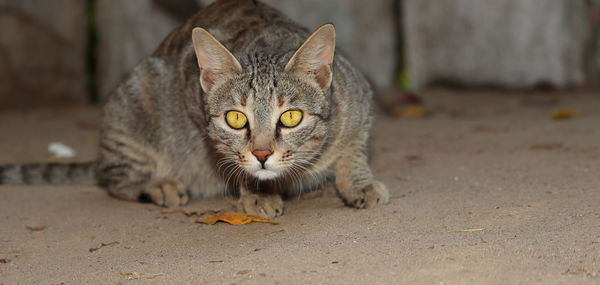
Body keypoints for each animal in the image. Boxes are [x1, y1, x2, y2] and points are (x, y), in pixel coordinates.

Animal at [0, 0, 390, 217]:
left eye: (291, 117)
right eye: (236, 118)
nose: (262, 154)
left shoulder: (360, 104)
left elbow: (353, 151)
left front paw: (359, 183)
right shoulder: (194, 106)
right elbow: (232, 162)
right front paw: (257, 192)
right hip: (135, 104)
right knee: (113, 177)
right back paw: (159, 185)